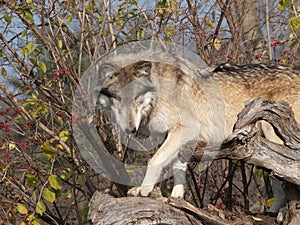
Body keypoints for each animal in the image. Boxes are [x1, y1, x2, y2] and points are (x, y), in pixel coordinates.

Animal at [94, 55, 300, 212]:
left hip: (275, 141)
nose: (130, 130)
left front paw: (143, 190)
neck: (158, 94)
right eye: (118, 98)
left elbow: (154, 160)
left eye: (136, 98)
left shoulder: (185, 129)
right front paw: (177, 196)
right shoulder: (174, 137)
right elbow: (178, 167)